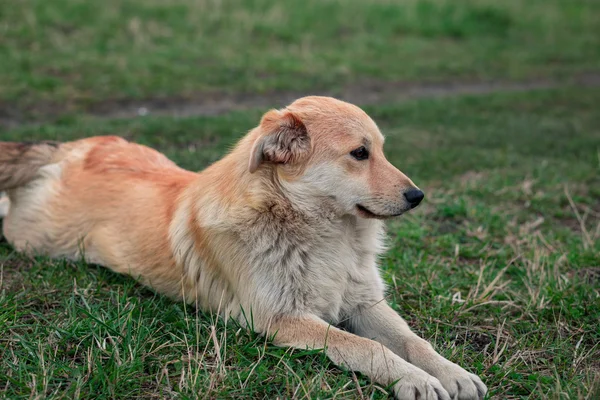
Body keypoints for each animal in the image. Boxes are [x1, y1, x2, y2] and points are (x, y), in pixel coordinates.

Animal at [0, 97, 488, 400]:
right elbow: (367, 348)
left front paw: (452, 373)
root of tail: (72, 148)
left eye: (381, 151)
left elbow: (413, 341)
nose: (417, 196)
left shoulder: (365, 303)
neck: (320, 233)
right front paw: (414, 382)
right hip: (35, 237)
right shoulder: (280, 318)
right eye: (359, 153)